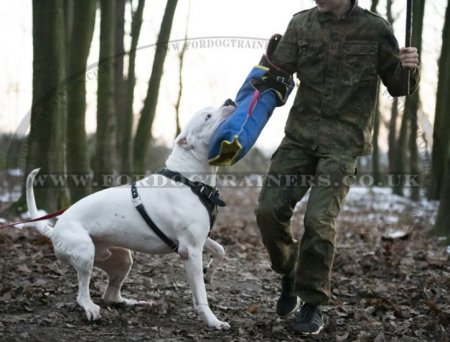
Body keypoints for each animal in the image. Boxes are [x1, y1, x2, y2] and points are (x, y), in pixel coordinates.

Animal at [25, 101, 236, 328]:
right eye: (208, 116)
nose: (229, 101)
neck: (188, 180)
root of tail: (55, 228)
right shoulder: (191, 250)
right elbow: (201, 294)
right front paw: (213, 320)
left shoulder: (199, 240)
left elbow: (221, 250)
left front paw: (210, 272)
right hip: (85, 253)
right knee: (82, 293)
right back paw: (91, 307)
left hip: (121, 259)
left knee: (111, 295)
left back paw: (133, 303)